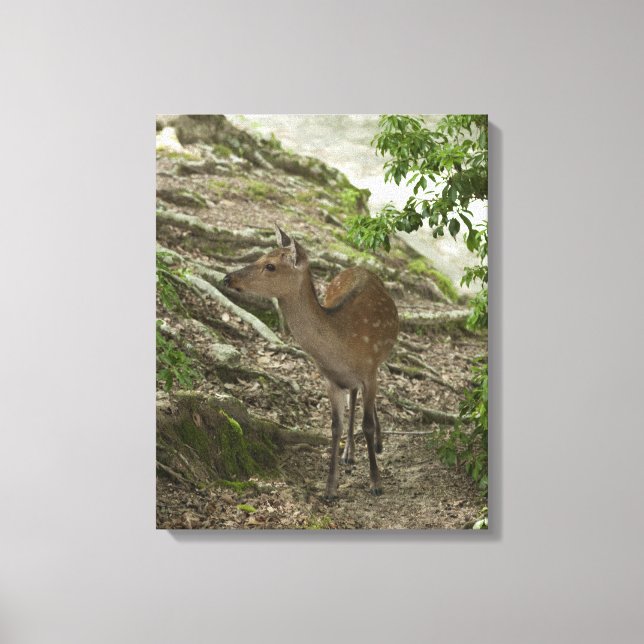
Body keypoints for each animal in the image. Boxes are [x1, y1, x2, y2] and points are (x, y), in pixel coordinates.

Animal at [223, 226, 399, 500]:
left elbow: (367, 424)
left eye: (270, 266)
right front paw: (329, 488)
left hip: (378, 364)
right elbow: (335, 427)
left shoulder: (369, 370)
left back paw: (376, 445)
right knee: (354, 396)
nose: (228, 278)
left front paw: (375, 482)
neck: (343, 345)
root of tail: (360, 267)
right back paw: (349, 453)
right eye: (261, 256)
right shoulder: (330, 379)